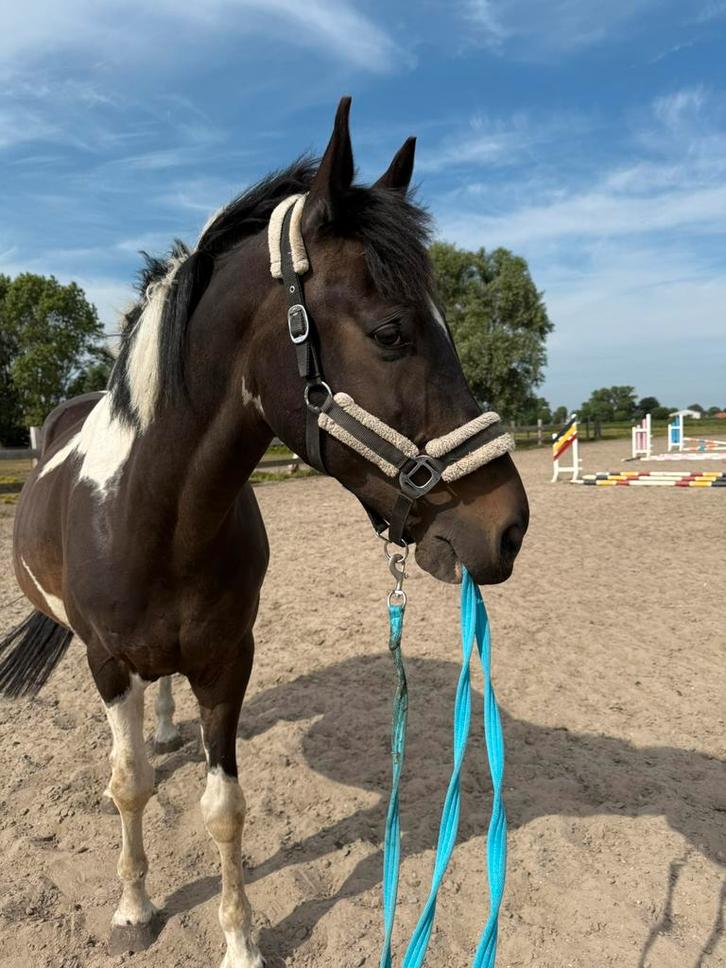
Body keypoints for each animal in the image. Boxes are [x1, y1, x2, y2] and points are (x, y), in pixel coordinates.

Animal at [0, 98, 529, 967]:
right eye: (390, 332)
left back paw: (168, 728)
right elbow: (127, 785)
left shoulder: (227, 661)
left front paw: (240, 941)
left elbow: (224, 808)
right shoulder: (107, 662)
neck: (154, 517)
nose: (508, 527)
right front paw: (134, 908)